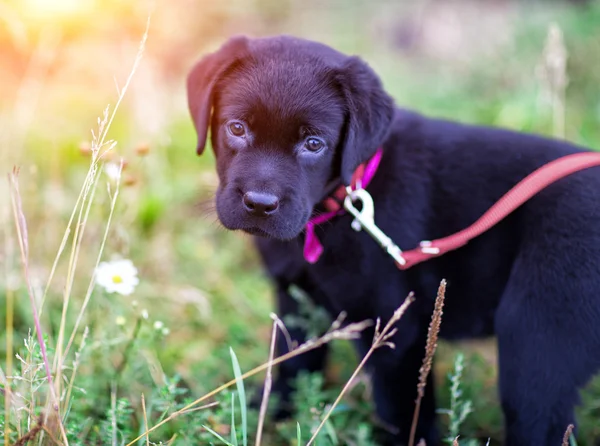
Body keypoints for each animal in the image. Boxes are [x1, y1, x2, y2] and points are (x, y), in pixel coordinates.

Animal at [186, 35, 600, 446]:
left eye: (314, 144)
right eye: (237, 128)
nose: (259, 204)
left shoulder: (394, 330)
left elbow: (402, 411)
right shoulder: (296, 297)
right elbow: (293, 360)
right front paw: (258, 414)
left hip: (536, 332)